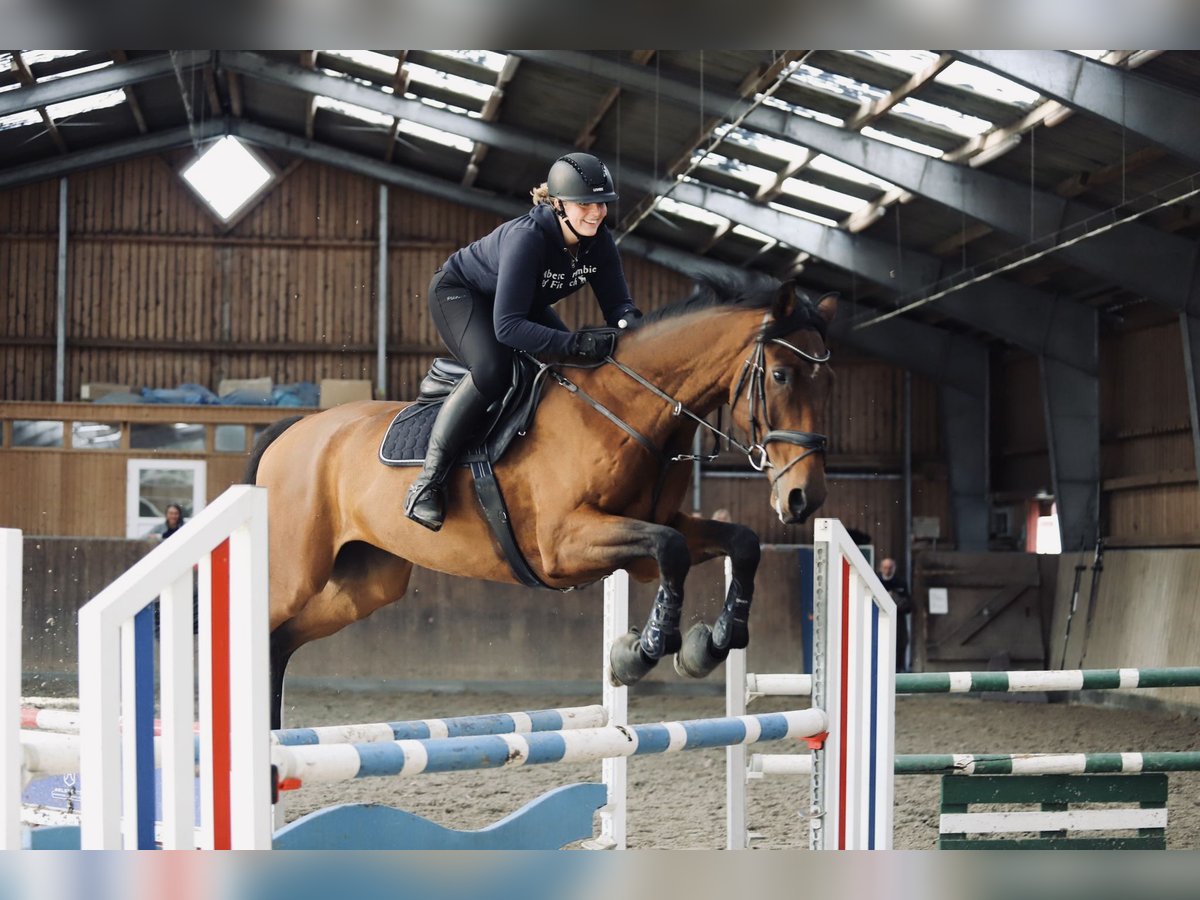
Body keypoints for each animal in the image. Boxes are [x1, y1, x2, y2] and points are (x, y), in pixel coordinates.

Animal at [246, 278, 835, 729]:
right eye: (780, 375)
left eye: (825, 381)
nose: (805, 497)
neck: (623, 411)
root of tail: (292, 430)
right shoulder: (563, 546)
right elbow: (672, 550)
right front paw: (641, 652)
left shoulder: (649, 537)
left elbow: (739, 542)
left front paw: (711, 643)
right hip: (295, 573)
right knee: (262, 628)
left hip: (366, 582)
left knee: (279, 642)